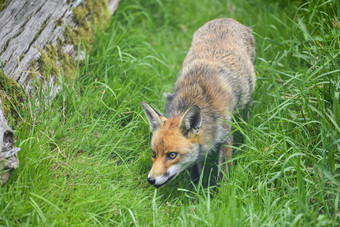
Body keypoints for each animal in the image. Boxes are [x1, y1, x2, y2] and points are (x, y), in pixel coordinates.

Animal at [141, 18, 255, 188]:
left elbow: (223, 172)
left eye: (172, 155)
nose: (151, 180)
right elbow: (195, 172)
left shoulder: (226, 136)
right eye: (153, 153)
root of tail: (226, 19)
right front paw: (197, 190)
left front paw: (220, 191)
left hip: (247, 95)